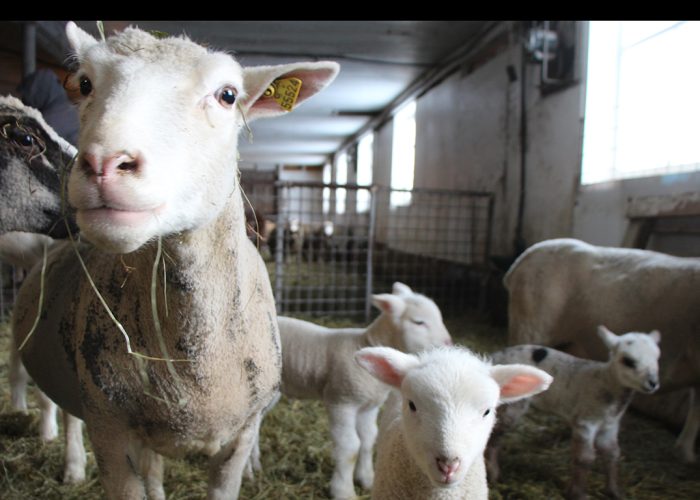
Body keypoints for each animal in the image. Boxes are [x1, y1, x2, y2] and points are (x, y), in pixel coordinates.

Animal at [11, 21, 340, 498]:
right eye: (85, 83)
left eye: (227, 95)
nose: (104, 163)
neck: (194, 367)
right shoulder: (110, 429)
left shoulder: (240, 438)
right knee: (65, 413)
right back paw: (72, 465)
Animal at [260, 284, 452, 498]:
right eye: (419, 322)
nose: (449, 342)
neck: (367, 346)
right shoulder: (341, 402)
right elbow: (350, 447)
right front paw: (343, 490)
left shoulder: (369, 406)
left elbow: (368, 440)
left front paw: (367, 478)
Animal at [486, 326, 660, 498]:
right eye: (628, 361)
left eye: (657, 358)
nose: (653, 383)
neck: (607, 384)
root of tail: (496, 355)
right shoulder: (585, 422)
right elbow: (585, 458)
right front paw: (578, 493)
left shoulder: (609, 426)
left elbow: (612, 453)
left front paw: (615, 491)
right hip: (515, 403)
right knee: (498, 432)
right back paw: (494, 472)